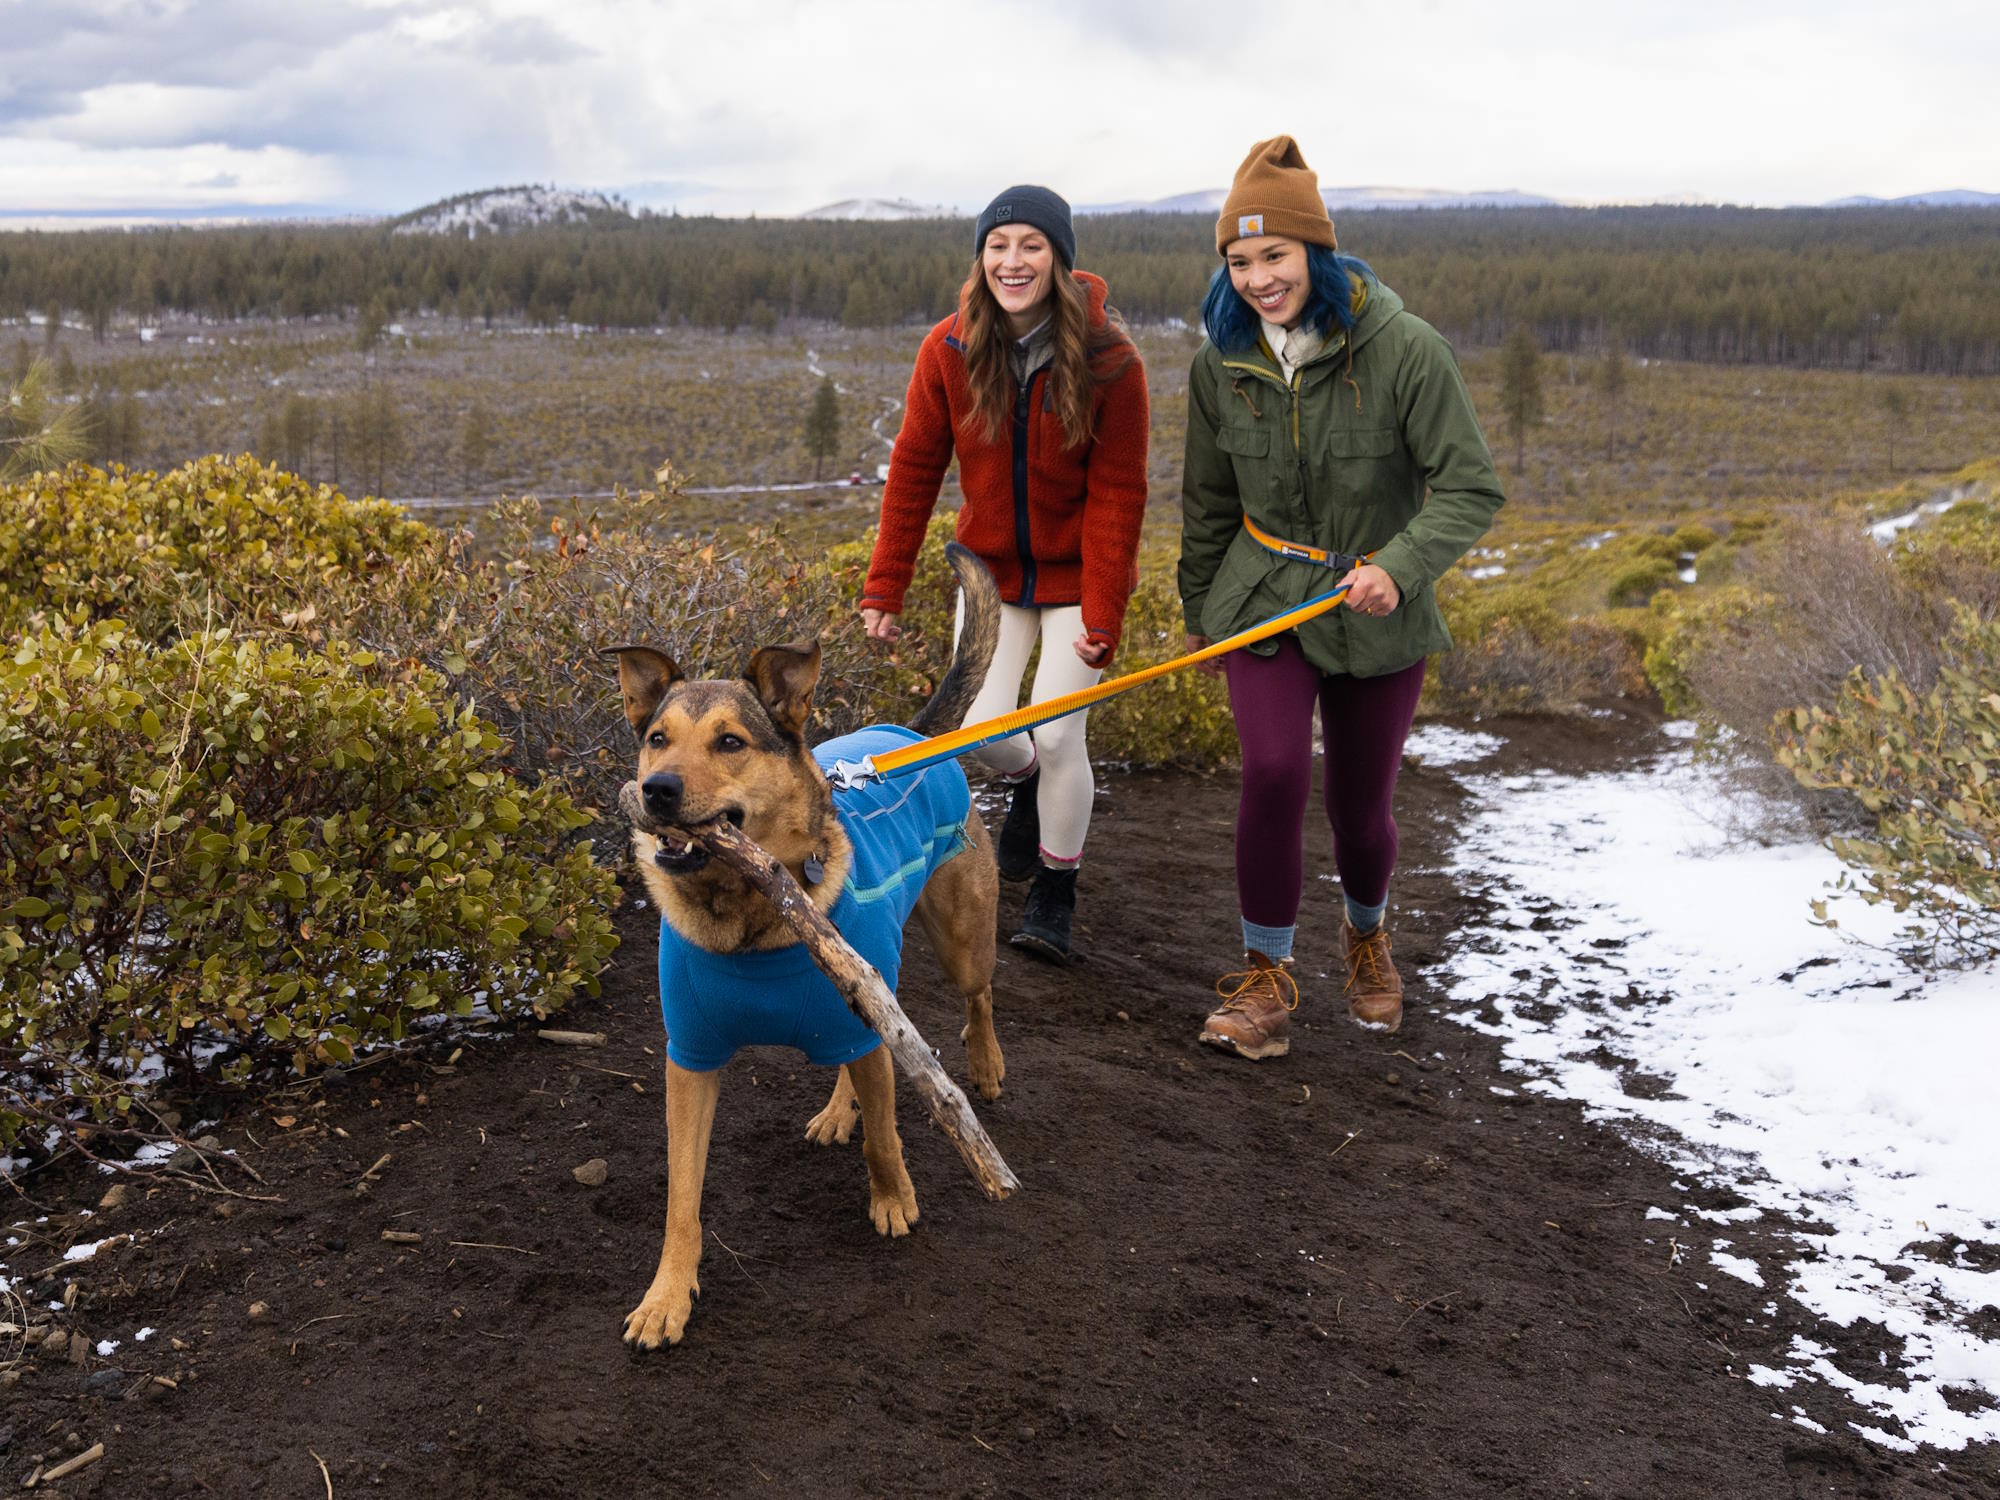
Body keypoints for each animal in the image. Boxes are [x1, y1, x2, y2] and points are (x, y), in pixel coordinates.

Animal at [600, 548, 1008, 1360]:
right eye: (657, 738)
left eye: (730, 742)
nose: (656, 790)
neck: (748, 918)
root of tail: (904, 731)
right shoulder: (690, 1058)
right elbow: (682, 1196)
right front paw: (667, 1296)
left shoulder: (863, 1016)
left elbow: (886, 1136)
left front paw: (894, 1199)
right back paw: (838, 1109)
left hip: (955, 937)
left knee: (974, 995)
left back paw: (983, 1063)